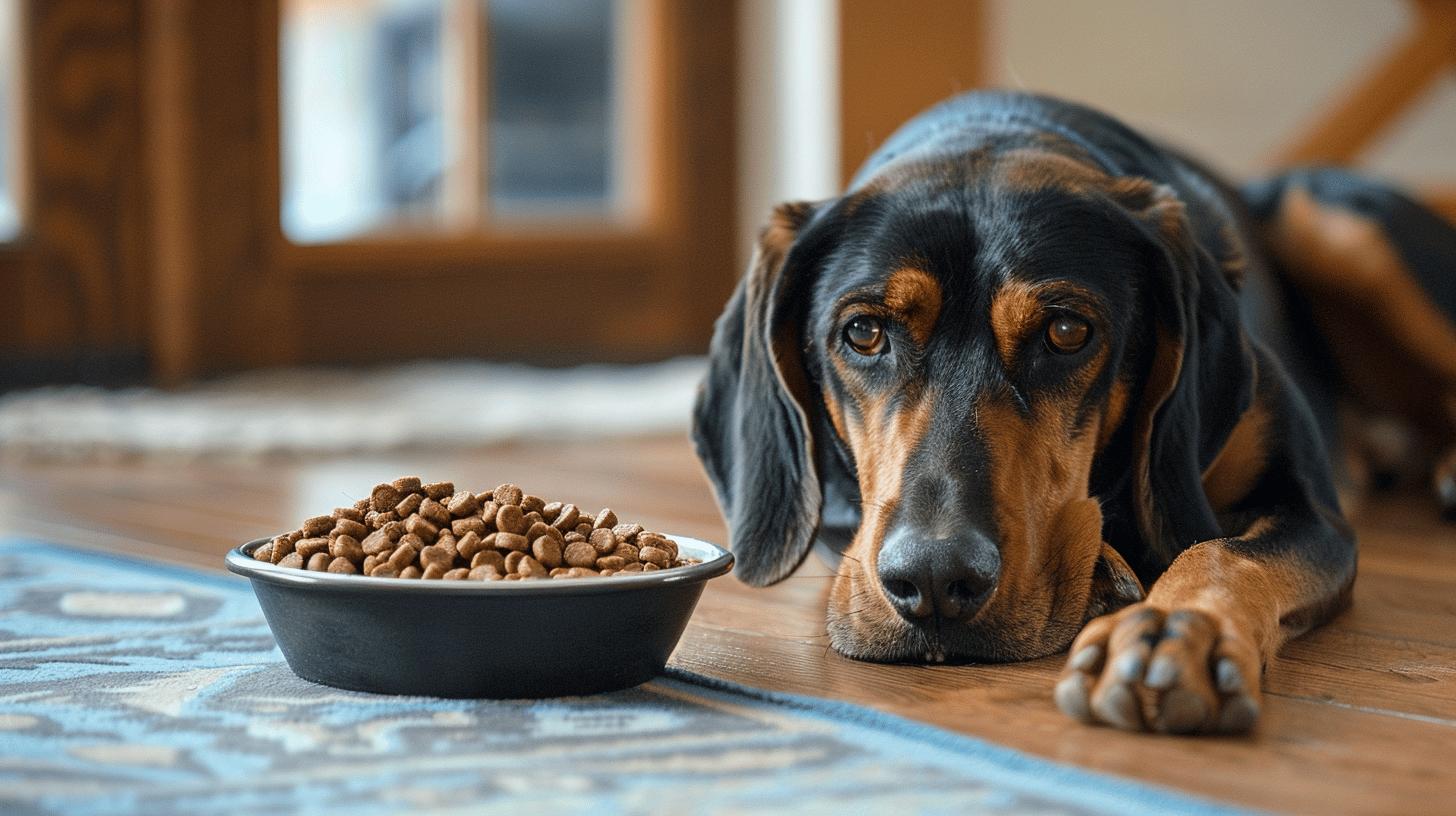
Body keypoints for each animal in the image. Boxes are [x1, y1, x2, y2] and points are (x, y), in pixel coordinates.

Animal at [690, 92, 1456, 737]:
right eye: (864, 333)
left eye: (1066, 332)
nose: (934, 582)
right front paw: (1109, 573)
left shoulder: (1309, 508)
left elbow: (1222, 550)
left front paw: (1177, 628)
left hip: (1332, 218)